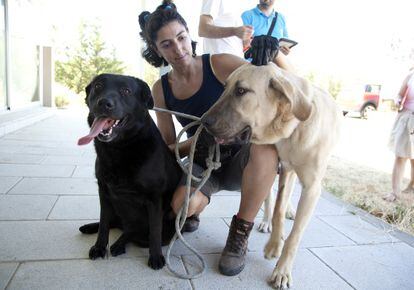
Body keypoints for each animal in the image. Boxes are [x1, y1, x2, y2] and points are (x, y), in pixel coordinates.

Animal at [77, 74, 181, 270]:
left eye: (126, 91)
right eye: (98, 86)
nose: (104, 103)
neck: (120, 149)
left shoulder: (154, 198)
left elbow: (154, 231)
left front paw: (156, 256)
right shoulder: (104, 192)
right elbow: (103, 223)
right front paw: (99, 247)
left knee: (134, 231)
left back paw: (119, 244)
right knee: (115, 223)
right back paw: (93, 229)